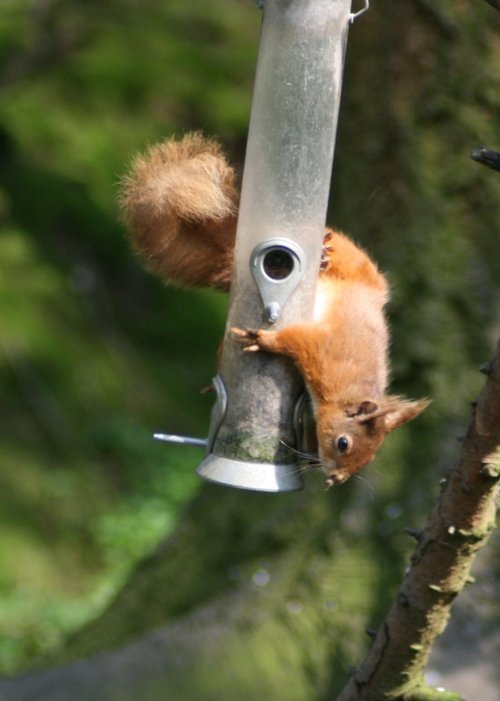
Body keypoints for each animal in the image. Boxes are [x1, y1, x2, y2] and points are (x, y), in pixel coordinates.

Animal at [120, 132, 430, 487]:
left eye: (371, 457)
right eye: (344, 443)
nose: (334, 480)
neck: (347, 390)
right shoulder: (323, 352)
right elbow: (293, 341)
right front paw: (265, 341)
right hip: (350, 259)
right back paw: (323, 256)